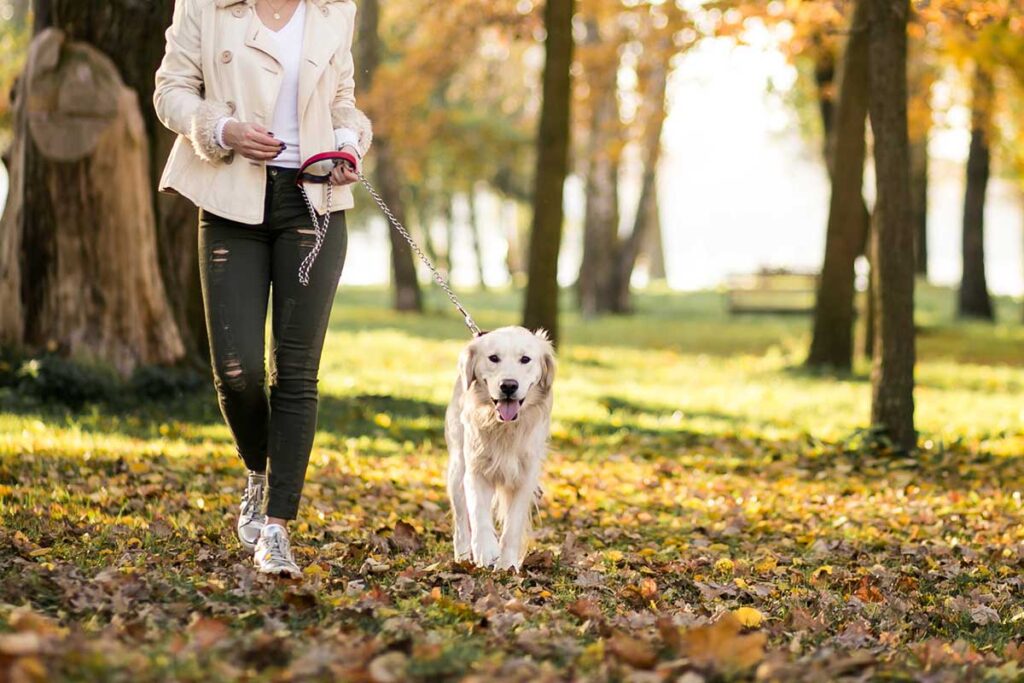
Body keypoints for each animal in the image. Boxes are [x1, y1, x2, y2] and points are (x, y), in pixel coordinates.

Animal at [446, 325, 557, 573]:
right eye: (493, 358)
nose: (508, 385)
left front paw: (507, 564)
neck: (505, 428)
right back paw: (463, 556)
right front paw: (486, 551)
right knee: (461, 522)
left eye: (525, 359)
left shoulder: (525, 478)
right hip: (457, 467)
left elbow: (512, 528)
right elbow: (479, 515)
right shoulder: (475, 471)